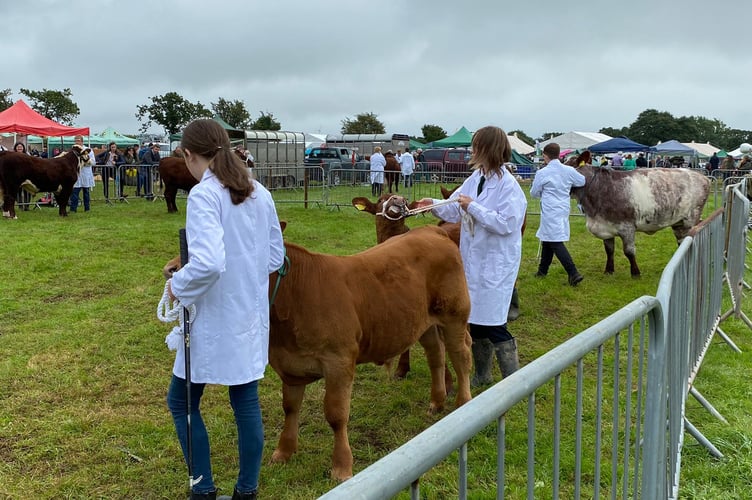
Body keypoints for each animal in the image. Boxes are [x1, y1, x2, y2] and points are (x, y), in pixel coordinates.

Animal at [163, 225, 470, 478]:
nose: (170, 269)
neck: (293, 297)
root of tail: (430, 230)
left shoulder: (339, 362)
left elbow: (336, 415)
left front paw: (342, 466)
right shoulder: (289, 365)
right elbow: (290, 408)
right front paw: (283, 452)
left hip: (455, 314)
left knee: (461, 355)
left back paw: (463, 403)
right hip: (423, 322)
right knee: (436, 355)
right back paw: (437, 402)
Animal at [568, 165, 712, 276]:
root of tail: (703, 177)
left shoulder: (627, 228)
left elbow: (629, 252)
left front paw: (635, 273)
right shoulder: (605, 228)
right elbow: (609, 250)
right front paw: (609, 270)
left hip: (691, 218)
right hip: (679, 222)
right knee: (681, 241)